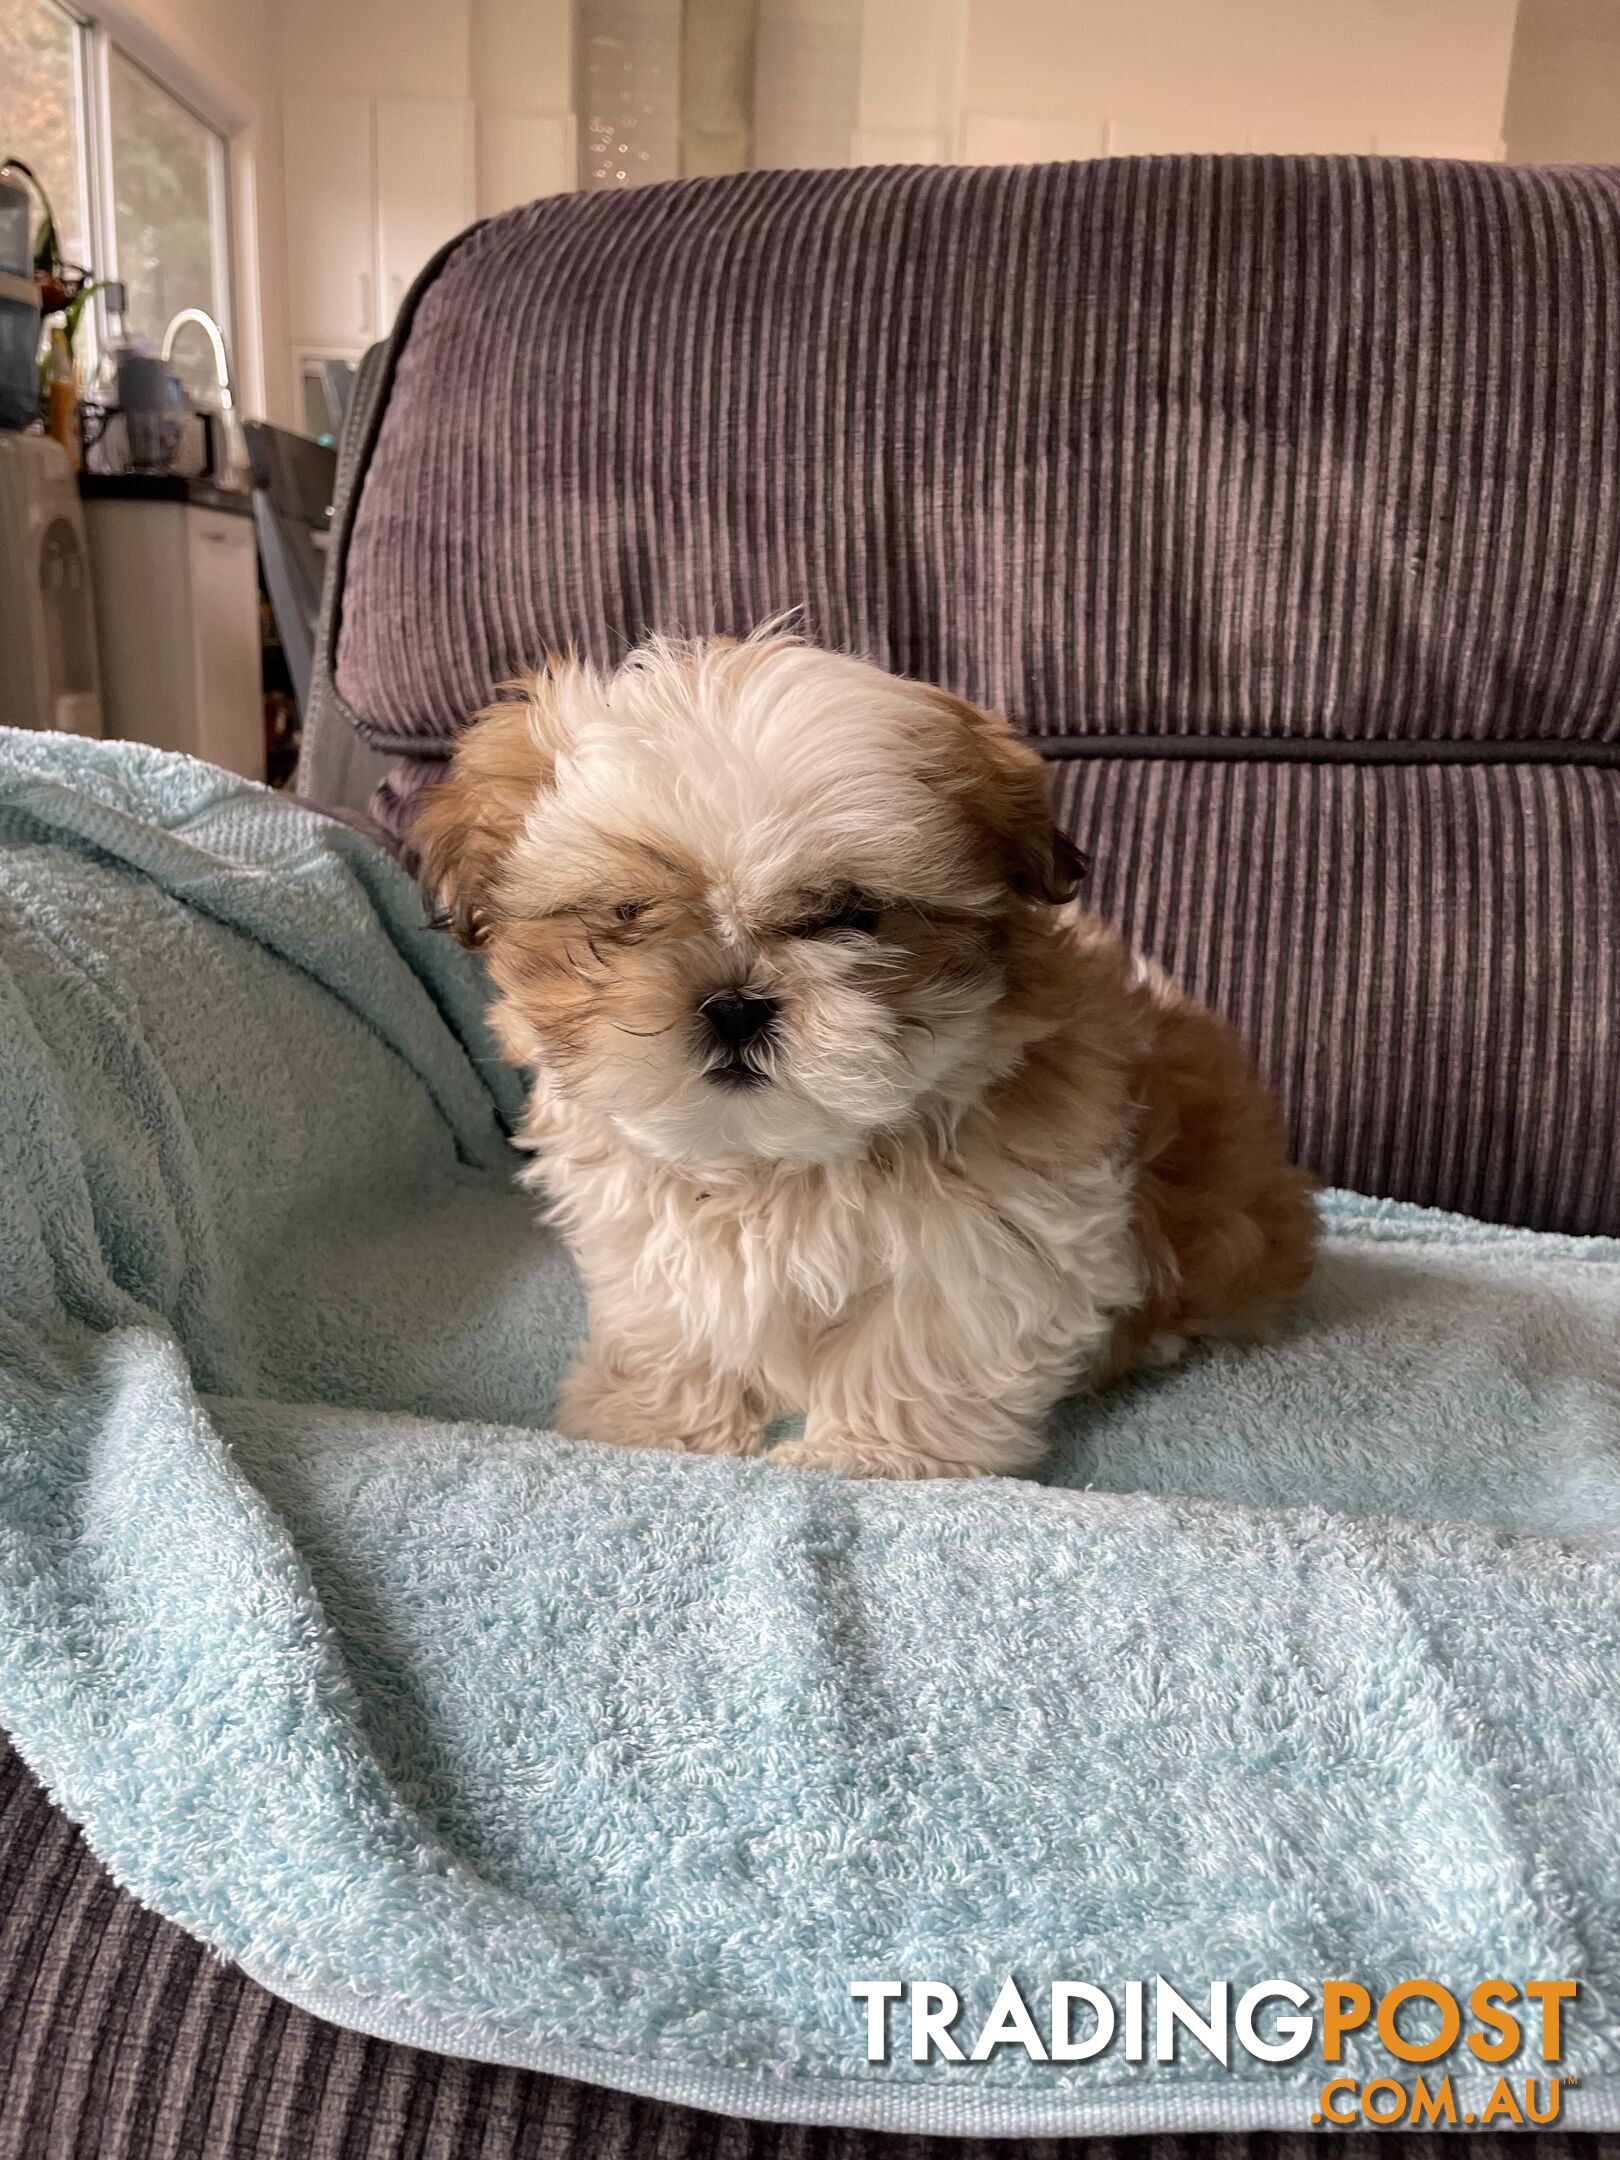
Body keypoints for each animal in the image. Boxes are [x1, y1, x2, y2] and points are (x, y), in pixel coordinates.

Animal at [419, 630, 1321, 1486]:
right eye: (629, 912)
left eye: (851, 915)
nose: (734, 1004)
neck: (775, 1166)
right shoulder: (653, 1238)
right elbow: (674, 1328)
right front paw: (651, 1426)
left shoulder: (991, 1244)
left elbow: (917, 1349)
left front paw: (872, 1456)